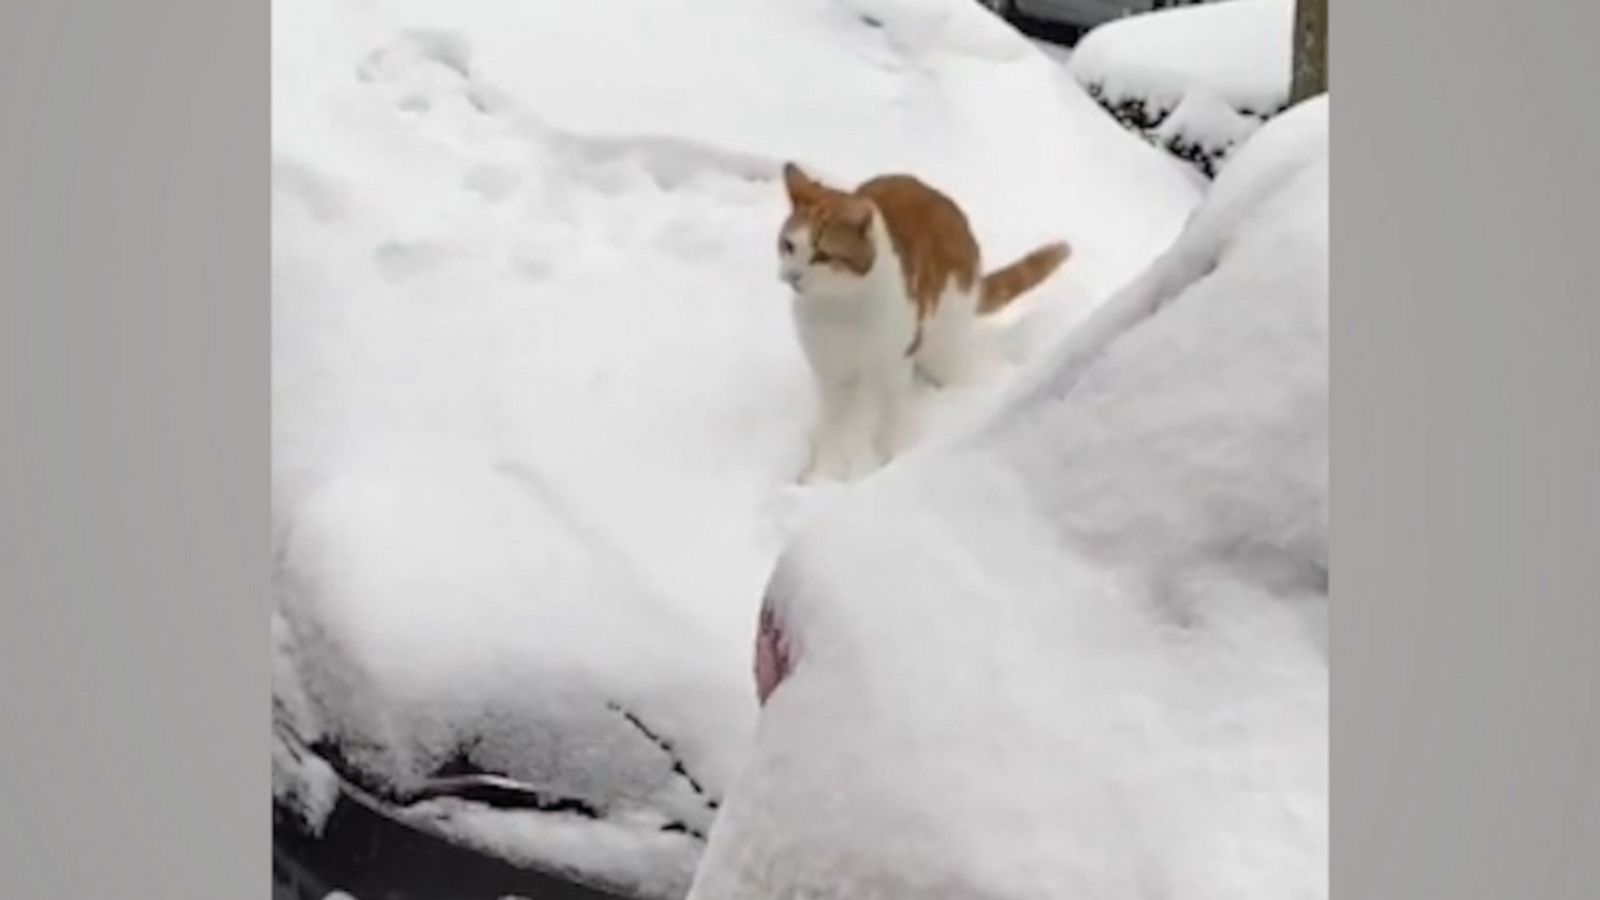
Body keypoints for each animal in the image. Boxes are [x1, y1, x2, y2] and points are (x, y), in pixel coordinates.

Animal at [777, 160, 1068, 483]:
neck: (837, 308)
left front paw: (892, 464)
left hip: (943, 338)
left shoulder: (892, 363)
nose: (791, 276)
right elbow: (833, 427)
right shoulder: (831, 372)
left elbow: (893, 417)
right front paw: (823, 475)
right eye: (789, 245)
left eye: (822, 255)